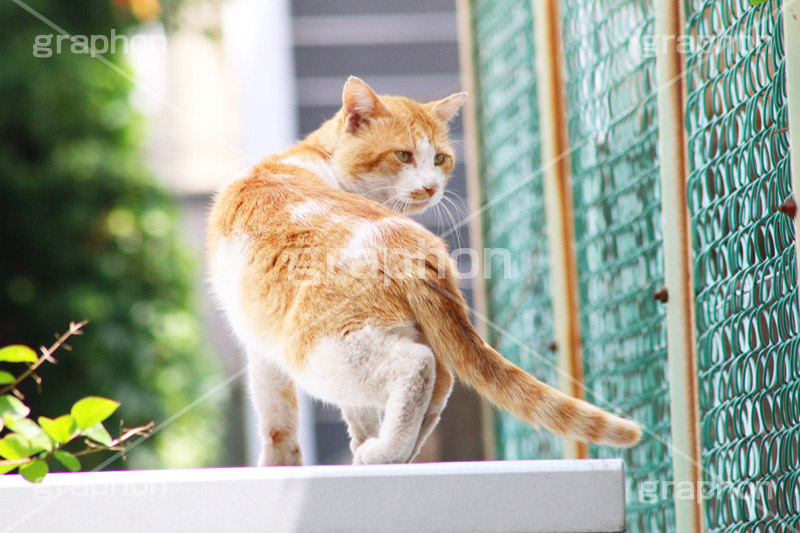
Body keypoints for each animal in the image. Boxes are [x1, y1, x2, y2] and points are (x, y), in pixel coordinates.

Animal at [208, 77, 644, 464]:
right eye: (403, 156)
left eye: (439, 158)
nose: (432, 187)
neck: (315, 160)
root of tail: (410, 246)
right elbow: (331, 413)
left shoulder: (262, 344)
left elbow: (276, 414)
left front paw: (279, 465)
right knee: (441, 382)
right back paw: (393, 455)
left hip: (323, 349)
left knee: (417, 368)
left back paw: (384, 452)